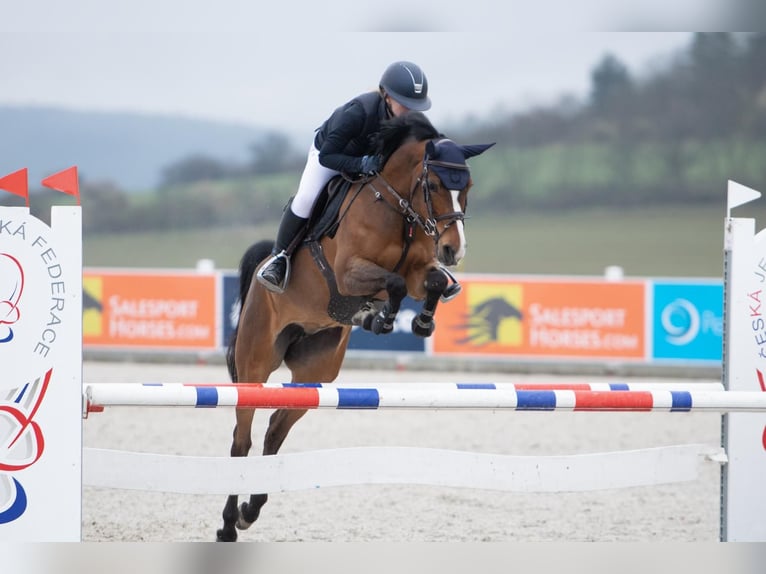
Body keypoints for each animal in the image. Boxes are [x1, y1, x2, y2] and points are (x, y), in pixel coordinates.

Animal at [218, 113, 492, 544]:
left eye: (467, 187)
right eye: (433, 185)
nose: (453, 250)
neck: (398, 206)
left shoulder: (418, 271)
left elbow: (430, 282)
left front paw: (418, 321)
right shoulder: (349, 273)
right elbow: (393, 284)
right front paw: (380, 317)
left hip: (316, 372)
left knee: (276, 429)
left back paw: (250, 510)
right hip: (255, 362)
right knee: (241, 438)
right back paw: (229, 524)